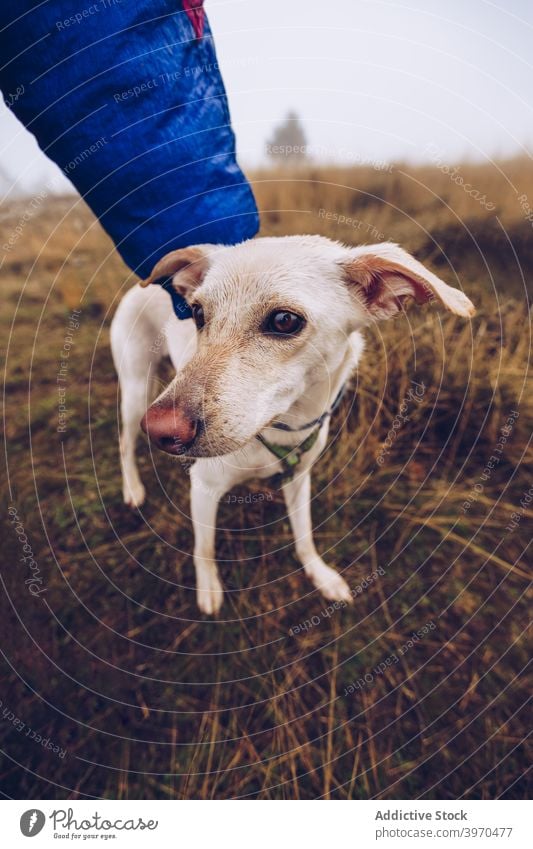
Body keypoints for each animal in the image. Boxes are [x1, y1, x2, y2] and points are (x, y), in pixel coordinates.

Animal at [109, 235, 474, 612]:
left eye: (284, 320)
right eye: (197, 314)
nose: (162, 431)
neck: (282, 427)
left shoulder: (300, 479)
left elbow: (304, 537)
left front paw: (321, 575)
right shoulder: (204, 486)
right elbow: (204, 547)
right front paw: (208, 587)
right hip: (137, 392)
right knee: (124, 442)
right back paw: (133, 488)